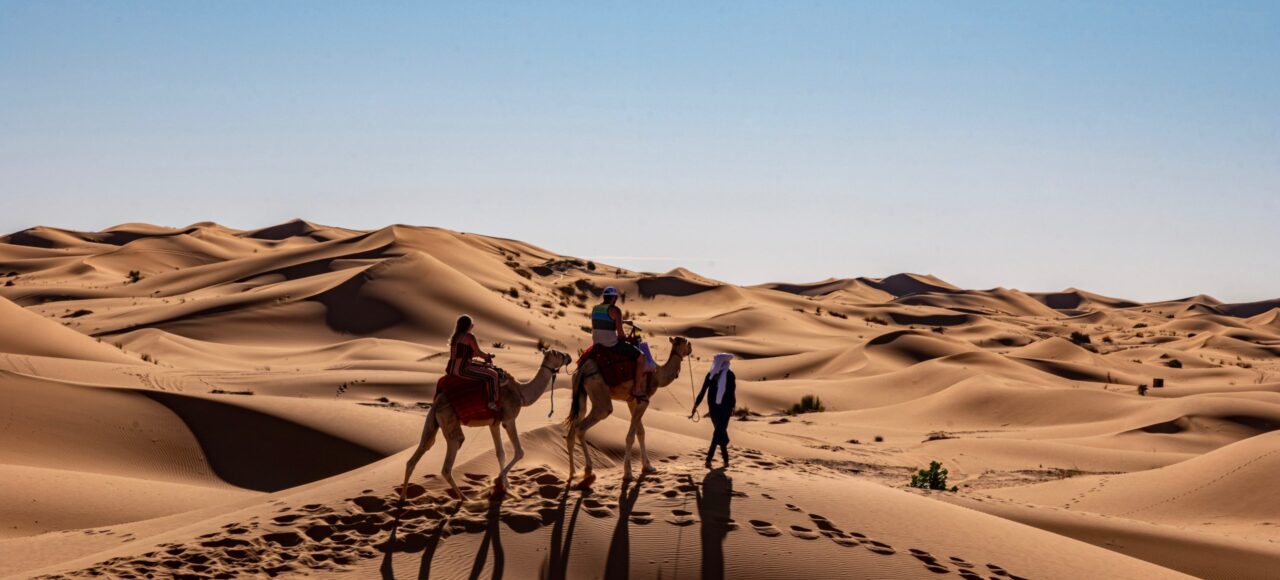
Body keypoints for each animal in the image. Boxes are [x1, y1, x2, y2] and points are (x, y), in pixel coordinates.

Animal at [399, 348, 570, 501]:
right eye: (559, 354)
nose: (569, 356)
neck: (521, 393)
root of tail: (437, 402)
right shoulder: (509, 419)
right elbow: (519, 451)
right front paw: (498, 482)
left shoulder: (494, 423)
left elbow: (500, 453)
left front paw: (507, 486)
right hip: (449, 420)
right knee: (448, 462)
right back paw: (464, 498)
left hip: (432, 422)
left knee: (419, 452)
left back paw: (403, 498)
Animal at [565, 335, 696, 483]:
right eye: (686, 342)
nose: (690, 348)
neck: (658, 374)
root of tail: (582, 370)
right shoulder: (644, 400)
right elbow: (631, 436)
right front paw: (628, 473)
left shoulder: (632, 401)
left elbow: (641, 432)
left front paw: (648, 466)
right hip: (599, 393)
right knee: (583, 426)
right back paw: (588, 470)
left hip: (580, 393)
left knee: (574, 428)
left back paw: (572, 474)